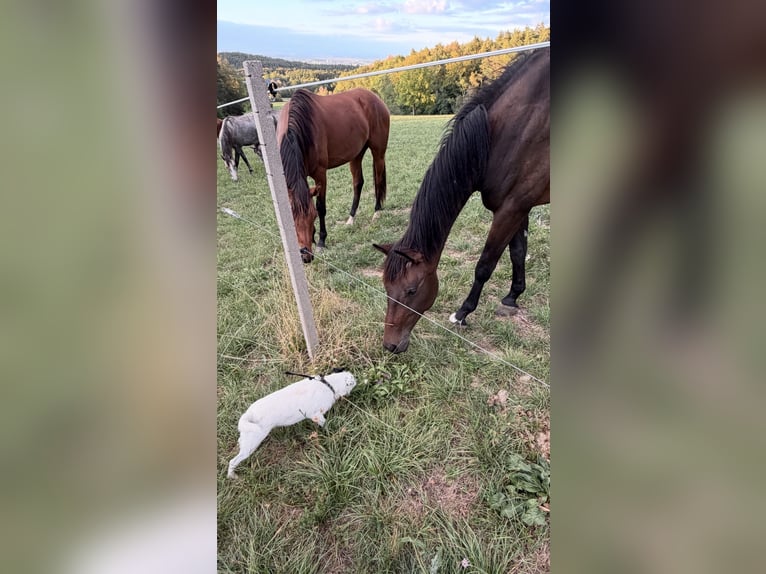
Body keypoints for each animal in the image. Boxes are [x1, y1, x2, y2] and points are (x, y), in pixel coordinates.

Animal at [276, 88, 390, 263]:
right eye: (292, 219)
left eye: (313, 216)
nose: (305, 256)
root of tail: (374, 98)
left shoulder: (320, 174)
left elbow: (321, 207)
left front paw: (321, 241)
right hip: (356, 154)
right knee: (358, 183)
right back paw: (351, 219)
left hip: (378, 152)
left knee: (378, 180)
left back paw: (376, 212)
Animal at [374, 48, 549, 353]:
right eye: (386, 288)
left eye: (411, 290)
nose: (391, 345)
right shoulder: (519, 207)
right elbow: (517, 253)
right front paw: (512, 298)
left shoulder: (510, 210)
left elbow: (485, 265)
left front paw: (463, 313)